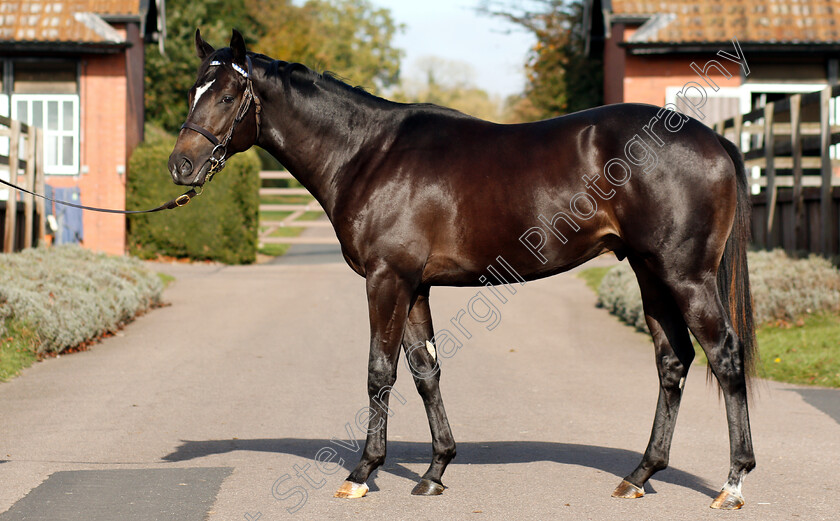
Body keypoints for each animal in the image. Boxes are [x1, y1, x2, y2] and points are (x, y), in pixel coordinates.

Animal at [167, 29, 756, 508]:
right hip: (650, 273)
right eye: (194, 89)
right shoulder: (415, 286)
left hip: (685, 276)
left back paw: (732, 483)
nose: (180, 166)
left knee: (725, 356)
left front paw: (362, 473)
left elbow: (379, 372)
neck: (368, 152)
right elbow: (425, 372)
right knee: (672, 361)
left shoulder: (387, 279)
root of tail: (712, 137)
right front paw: (435, 470)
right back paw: (640, 474)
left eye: (226, 95)